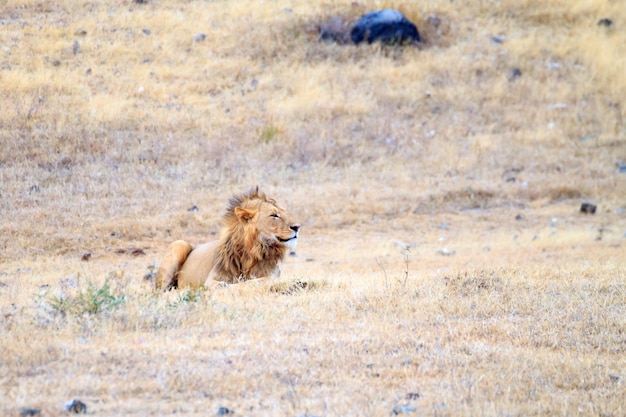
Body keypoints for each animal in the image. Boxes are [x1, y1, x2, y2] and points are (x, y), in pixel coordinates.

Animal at [155, 188, 298, 290]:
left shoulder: (271, 274)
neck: (251, 252)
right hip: (179, 244)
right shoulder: (212, 278)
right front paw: (223, 285)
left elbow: (254, 282)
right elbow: (215, 284)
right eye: (274, 215)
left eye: (285, 213)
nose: (297, 227)